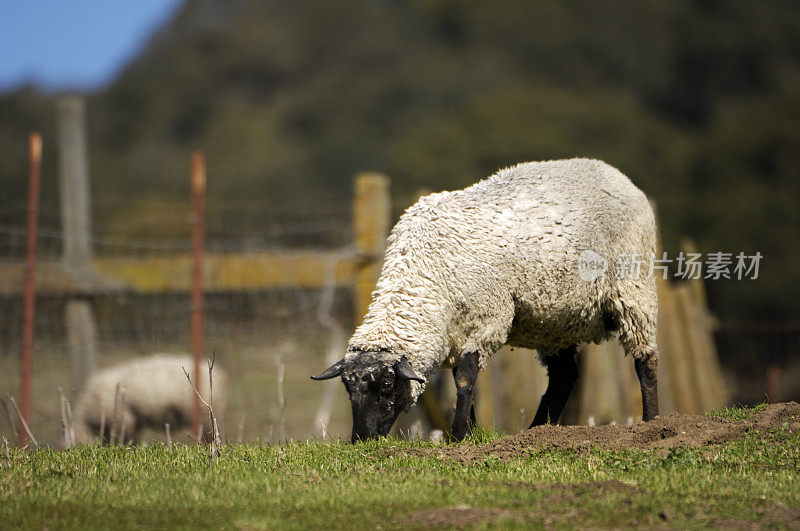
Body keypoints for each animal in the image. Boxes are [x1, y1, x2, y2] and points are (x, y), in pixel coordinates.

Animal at [316, 160, 660, 442]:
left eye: (387, 385)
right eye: (348, 388)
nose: (362, 441)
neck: (425, 272)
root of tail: (617, 175)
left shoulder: (486, 319)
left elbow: (465, 378)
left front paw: (457, 436)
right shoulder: (457, 331)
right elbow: (462, 381)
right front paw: (470, 432)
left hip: (634, 288)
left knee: (645, 359)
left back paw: (652, 423)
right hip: (556, 319)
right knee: (564, 376)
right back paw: (537, 430)